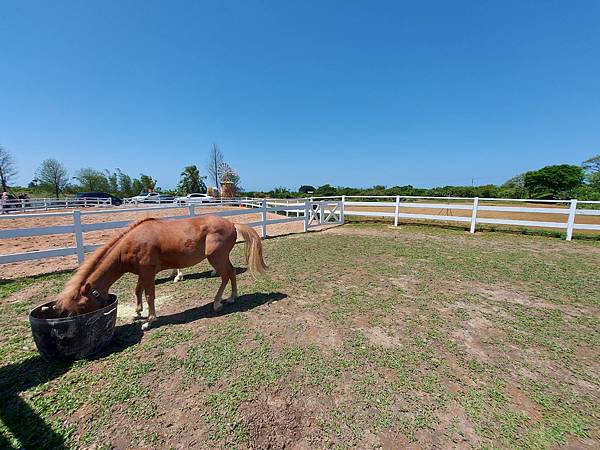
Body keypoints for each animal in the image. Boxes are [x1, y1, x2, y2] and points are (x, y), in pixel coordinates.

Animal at [56, 216, 268, 328]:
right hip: (223, 258)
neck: (130, 243)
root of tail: (232, 223)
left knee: (224, 277)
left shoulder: (148, 272)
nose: (72, 321)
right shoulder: (142, 272)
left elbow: (149, 295)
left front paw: (149, 320)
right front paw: (137, 312)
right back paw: (232, 297)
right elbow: (138, 290)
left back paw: (217, 303)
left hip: (216, 259)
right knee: (231, 273)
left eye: (82, 305)